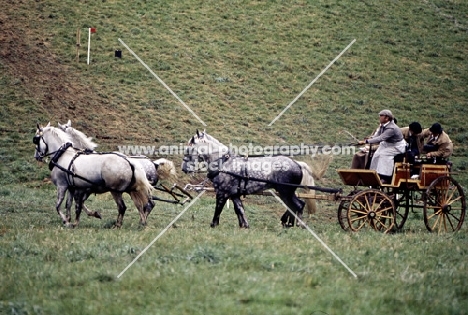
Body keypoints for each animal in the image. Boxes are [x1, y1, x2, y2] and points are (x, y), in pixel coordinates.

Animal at [183, 131, 318, 230]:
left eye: (189, 149)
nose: (183, 168)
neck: (224, 162)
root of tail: (297, 164)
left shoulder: (222, 192)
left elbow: (218, 209)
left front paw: (213, 225)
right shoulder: (234, 194)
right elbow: (240, 209)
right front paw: (245, 226)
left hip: (286, 192)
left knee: (297, 205)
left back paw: (295, 224)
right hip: (287, 192)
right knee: (296, 205)